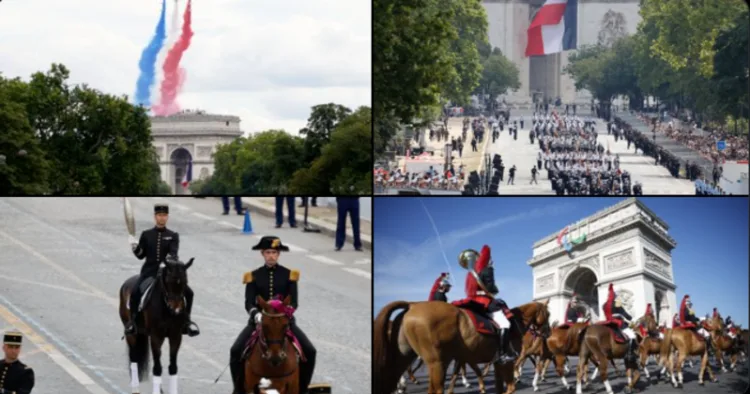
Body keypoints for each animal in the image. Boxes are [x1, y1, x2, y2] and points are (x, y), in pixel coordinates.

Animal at [117, 255, 194, 394]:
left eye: (185, 282)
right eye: (168, 282)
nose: (176, 309)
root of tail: (127, 282)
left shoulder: (176, 336)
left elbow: (173, 367)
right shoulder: (156, 337)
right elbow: (157, 368)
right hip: (132, 333)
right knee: (134, 356)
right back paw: (136, 388)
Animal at [376, 298, 552, 394]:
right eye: (548, 314)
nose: (548, 332)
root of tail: (412, 305)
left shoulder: (495, 363)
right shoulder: (507, 362)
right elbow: (509, 388)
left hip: (403, 358)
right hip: (437, 363)